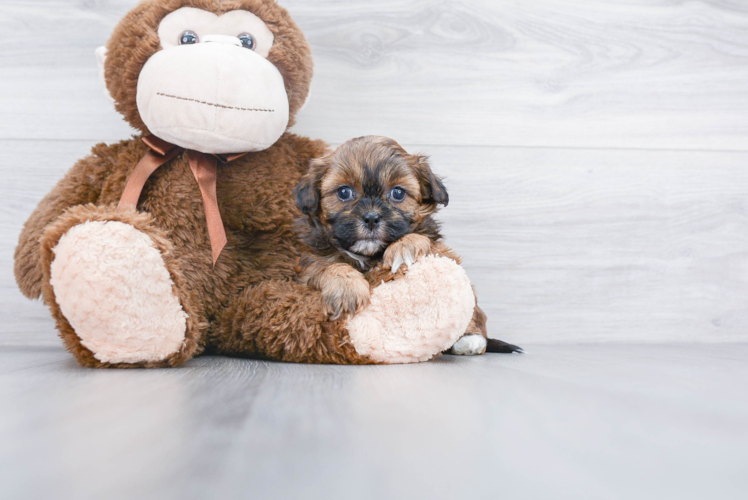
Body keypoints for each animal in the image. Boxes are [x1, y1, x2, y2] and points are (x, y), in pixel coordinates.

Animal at [292, 136, 520, 356]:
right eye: (344, 192)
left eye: (398, 193)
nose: (371, 217)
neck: (369, 255)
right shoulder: (310, 259)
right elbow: (329, 266)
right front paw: (346, 290)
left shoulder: (432, 240)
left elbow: (417, 237)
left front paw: (403, 248)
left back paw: (470, 340)